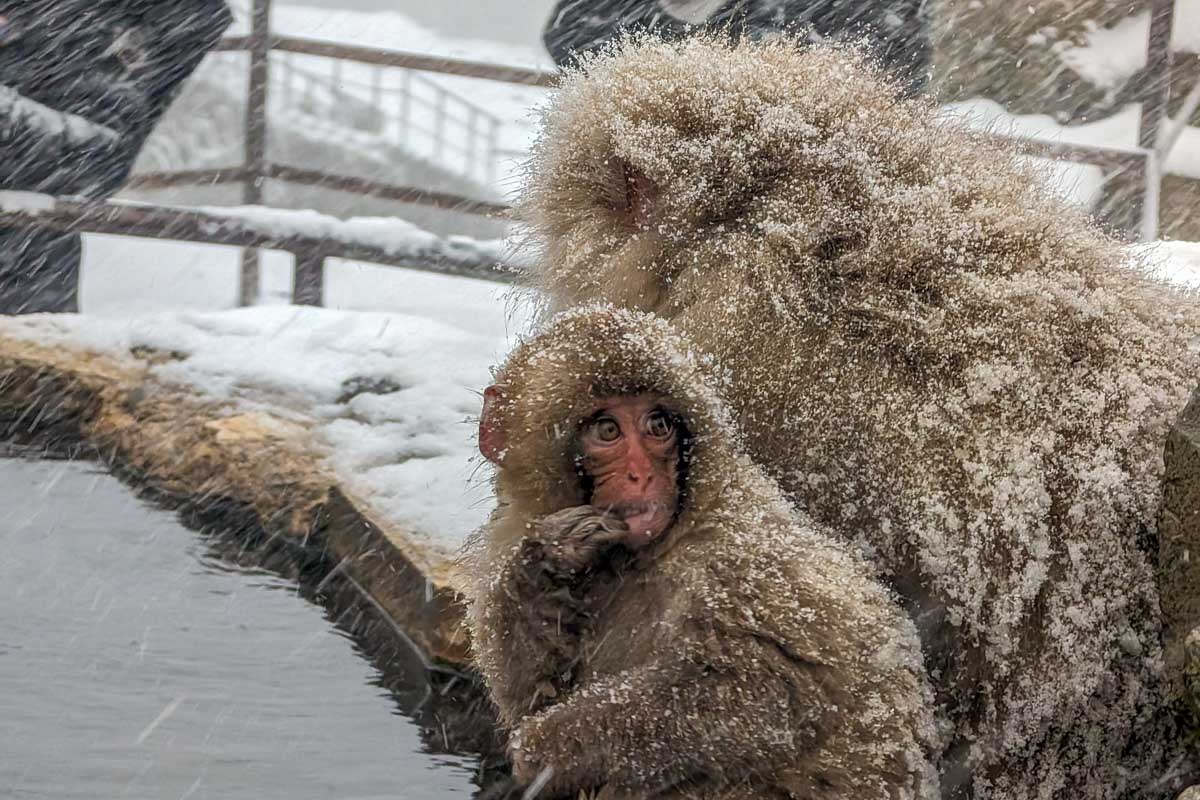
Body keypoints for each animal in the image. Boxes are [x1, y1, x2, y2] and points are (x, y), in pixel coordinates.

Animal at [460, 306, 942, 800]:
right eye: (607, 430)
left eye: (658, 426)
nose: (641, 475)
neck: (643, 557)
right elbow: (531, 692)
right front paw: (549, 561)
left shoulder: (741, 561)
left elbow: (773, 689)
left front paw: (551, 746)